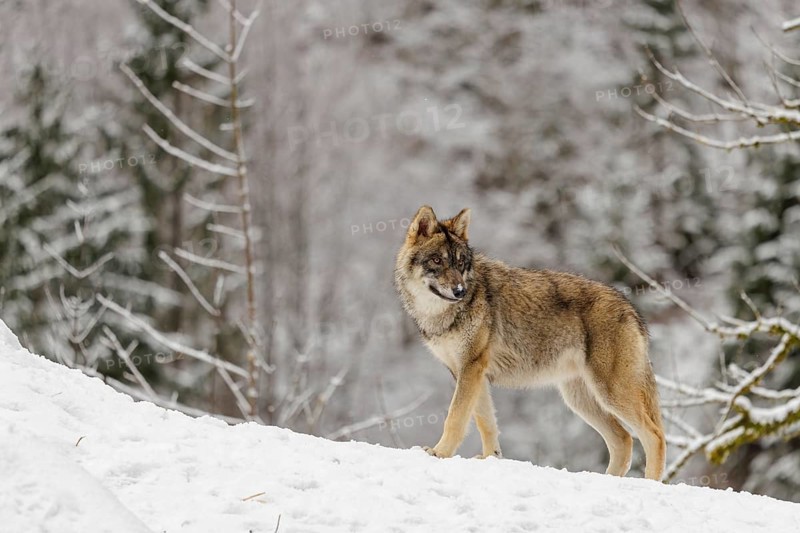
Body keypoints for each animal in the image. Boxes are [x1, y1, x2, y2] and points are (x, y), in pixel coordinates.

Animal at [394, 206, 666, 480]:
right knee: (624, 439)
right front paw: (491, 458)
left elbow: (456, 417)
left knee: (654, 435)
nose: (459, 291)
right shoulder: (470, 372)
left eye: (460, 263)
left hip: (610, 393)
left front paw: (440, 453)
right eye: (437, 261)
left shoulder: (471, 367)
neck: (439, 315)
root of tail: (631, 309)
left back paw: (651, 482)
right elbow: (486, 422)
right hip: (580, 400)